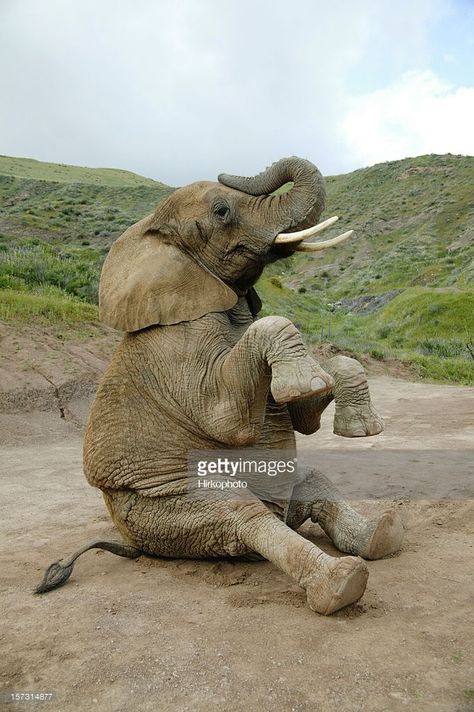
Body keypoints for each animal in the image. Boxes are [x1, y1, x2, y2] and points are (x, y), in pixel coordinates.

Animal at [35, 159, 402, 616]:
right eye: (222, 212)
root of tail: (131, 542)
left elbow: (304, 414)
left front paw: (357, 425)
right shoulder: (175, 346)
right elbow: (226, 418)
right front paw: (304, 384)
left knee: (314, 483)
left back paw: (383, 534)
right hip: (166, 515)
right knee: (242, 514)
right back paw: (340, 584)